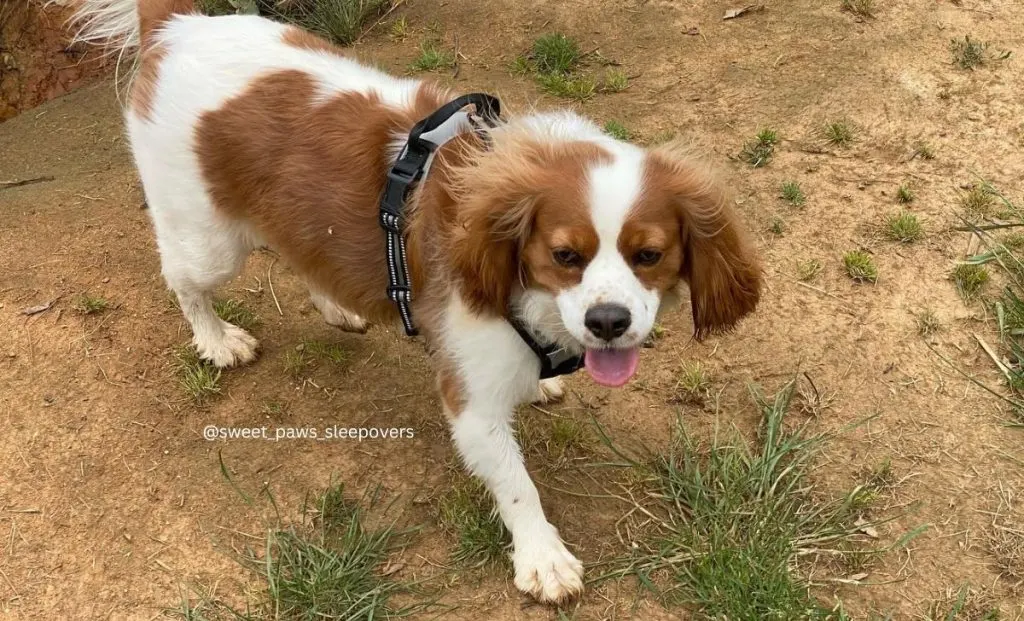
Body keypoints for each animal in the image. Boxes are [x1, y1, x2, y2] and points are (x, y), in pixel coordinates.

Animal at [72, 0, 761, 606]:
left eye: (649, 254)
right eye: (566, 255)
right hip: (207, 242)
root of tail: (177, 26)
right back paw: (216, 340)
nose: (608, 322)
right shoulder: (472, 405)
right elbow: (517, 485)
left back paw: (335, 306)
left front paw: (542, 383)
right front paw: (542, 557)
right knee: (186, 283)